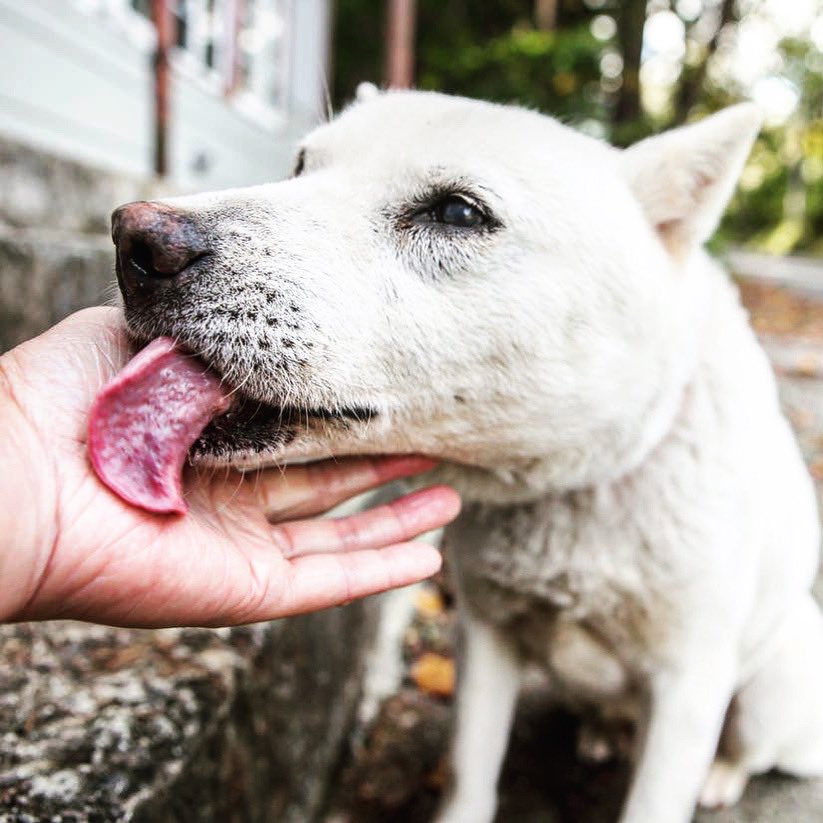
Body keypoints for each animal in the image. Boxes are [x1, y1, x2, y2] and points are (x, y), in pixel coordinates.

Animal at [111, 87, 823, 820]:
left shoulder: (687, 685)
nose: (135, 240)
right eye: (301, 165)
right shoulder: (483, 639)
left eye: (457, 213)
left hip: (772, 682)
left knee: (754, 748)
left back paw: (720, 776)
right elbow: (469, 769)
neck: (575, 487)